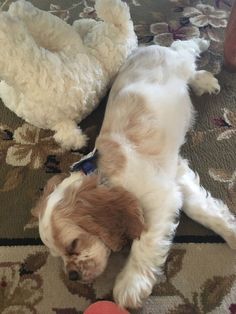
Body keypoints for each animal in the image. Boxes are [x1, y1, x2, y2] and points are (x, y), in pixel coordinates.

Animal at [31, 38, 236, 308]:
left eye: (74, 244)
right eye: (57, 254)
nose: (73, 276)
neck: (101, 171)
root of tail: (148, 46)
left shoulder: (160, 199)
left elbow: (144, 240)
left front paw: (130, 284)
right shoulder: (176, 175)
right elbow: (203, 209)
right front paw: (232, 231)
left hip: (177, 60)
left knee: (186, 49)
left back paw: (203, 62)